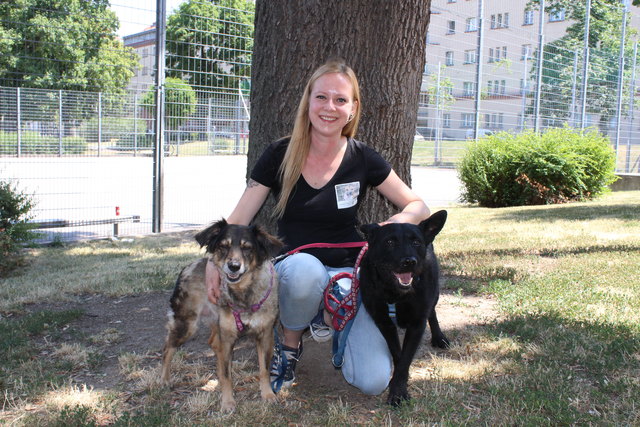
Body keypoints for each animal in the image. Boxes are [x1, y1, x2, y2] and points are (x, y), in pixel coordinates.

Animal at [160, 219, 282, 412]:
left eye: (247, 248)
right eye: (223, 246)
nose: (234, 266)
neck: (243, 294)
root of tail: (188, 266)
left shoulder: (265, 335)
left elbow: (264, 369)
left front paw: (268, 394)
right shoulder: (228, 337)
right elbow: (227, 374)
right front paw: (227, 402)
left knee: (212, 343)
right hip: (186, 324)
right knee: (168, 348)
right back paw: (164, 379)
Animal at [360, 211, 450, 408]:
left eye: (416, 242)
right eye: (389, 242)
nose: (409, 261)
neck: (396, 295)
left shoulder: (417, 324)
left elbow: (405, 359)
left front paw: (398, 391)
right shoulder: (384, 323)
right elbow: (398, 354)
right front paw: (398, 383)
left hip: (434, 293)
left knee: (432, 312)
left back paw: (439, 337)